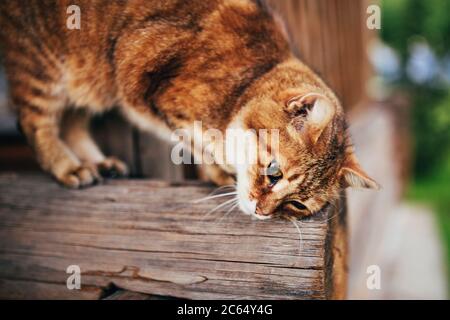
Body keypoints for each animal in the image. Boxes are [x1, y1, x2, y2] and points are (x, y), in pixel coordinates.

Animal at [0, 0, 378, 219]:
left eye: (298, 205)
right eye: (273, 172)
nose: (262, 212)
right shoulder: (157, 94)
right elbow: (196, 142)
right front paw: (218, 170)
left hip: (90, 78)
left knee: (72, 121)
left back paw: (97, 163)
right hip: (43, 64)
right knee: (34, 121)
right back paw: (70, 167)